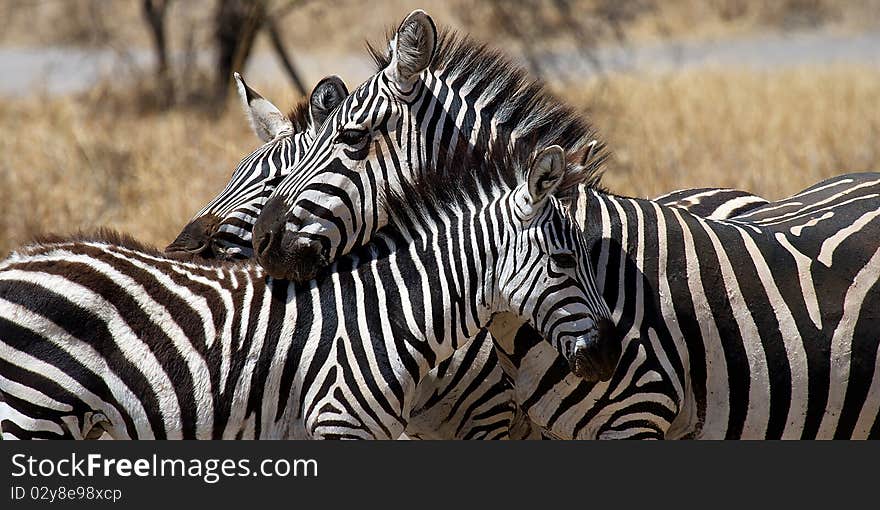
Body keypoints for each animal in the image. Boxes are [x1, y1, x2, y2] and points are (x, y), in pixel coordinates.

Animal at [0, 142, 620, 438]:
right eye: (565, 261)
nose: (612, 352)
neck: (390, 314)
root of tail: (16, 259)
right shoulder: (337, 424)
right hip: (28, 416)